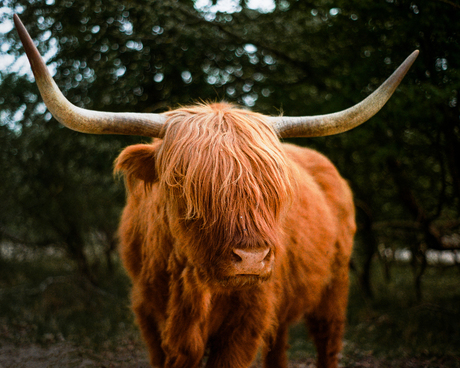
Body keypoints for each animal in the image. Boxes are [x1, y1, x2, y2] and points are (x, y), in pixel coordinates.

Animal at [13, 14, 416, 368]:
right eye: (184, 185)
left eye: (273, 190)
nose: (252, 258)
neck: (189, 280)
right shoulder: (148, 315)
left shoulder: (248, 318)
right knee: (280, 346)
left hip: (334, 290)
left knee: (327, 344)